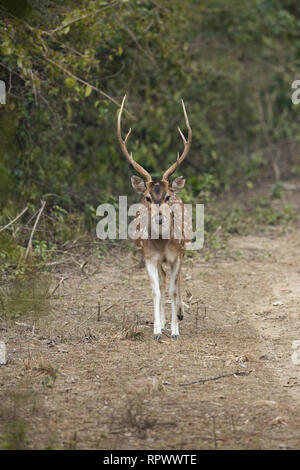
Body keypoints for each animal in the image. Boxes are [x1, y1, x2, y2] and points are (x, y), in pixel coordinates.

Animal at [117, 95, 192, 340]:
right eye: (148, 197)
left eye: (167, 196)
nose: (160, 219)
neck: (162, 243)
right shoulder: (149, 256)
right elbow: (157, 290)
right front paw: (158, 329)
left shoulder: (177, 255)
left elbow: (173, 290)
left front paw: (175, 331)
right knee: (162, 281)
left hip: (184, 250)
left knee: (176, 281)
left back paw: (179, 314)